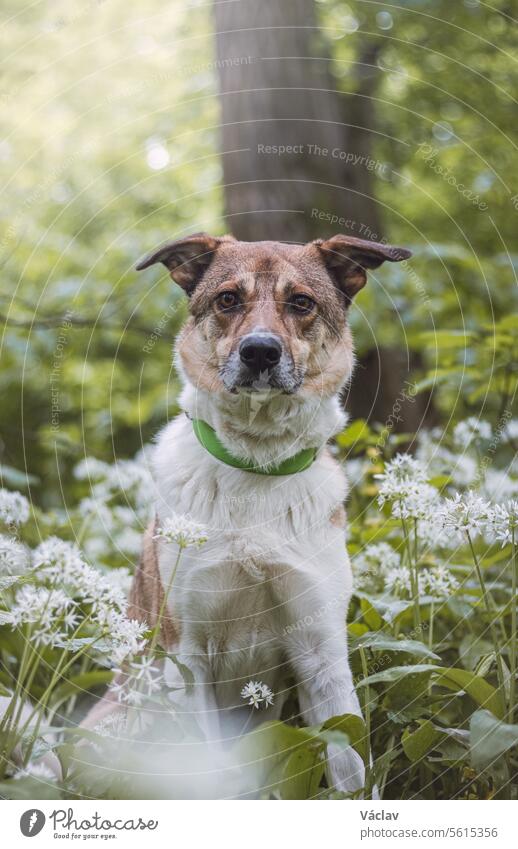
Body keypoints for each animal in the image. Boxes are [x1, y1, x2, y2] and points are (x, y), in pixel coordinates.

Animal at [86, 229, 414, 792]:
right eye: (227, 300)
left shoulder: (322, 654)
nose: (259, 351)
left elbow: (352, 771)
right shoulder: (186, 657)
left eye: (301, 302)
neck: (256, 466)